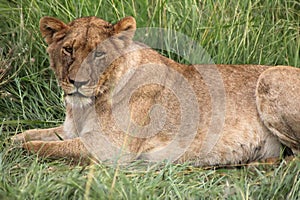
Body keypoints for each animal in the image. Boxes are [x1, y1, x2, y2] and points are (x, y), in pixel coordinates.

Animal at [12, 15, 300, 166]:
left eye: (100, 54)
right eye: (68, 49)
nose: (77, 82)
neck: (86, 107)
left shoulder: (109, 149)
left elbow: (40, 147)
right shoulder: (72, 131)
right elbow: (28, 135)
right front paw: (12, 141)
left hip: (269, 77)